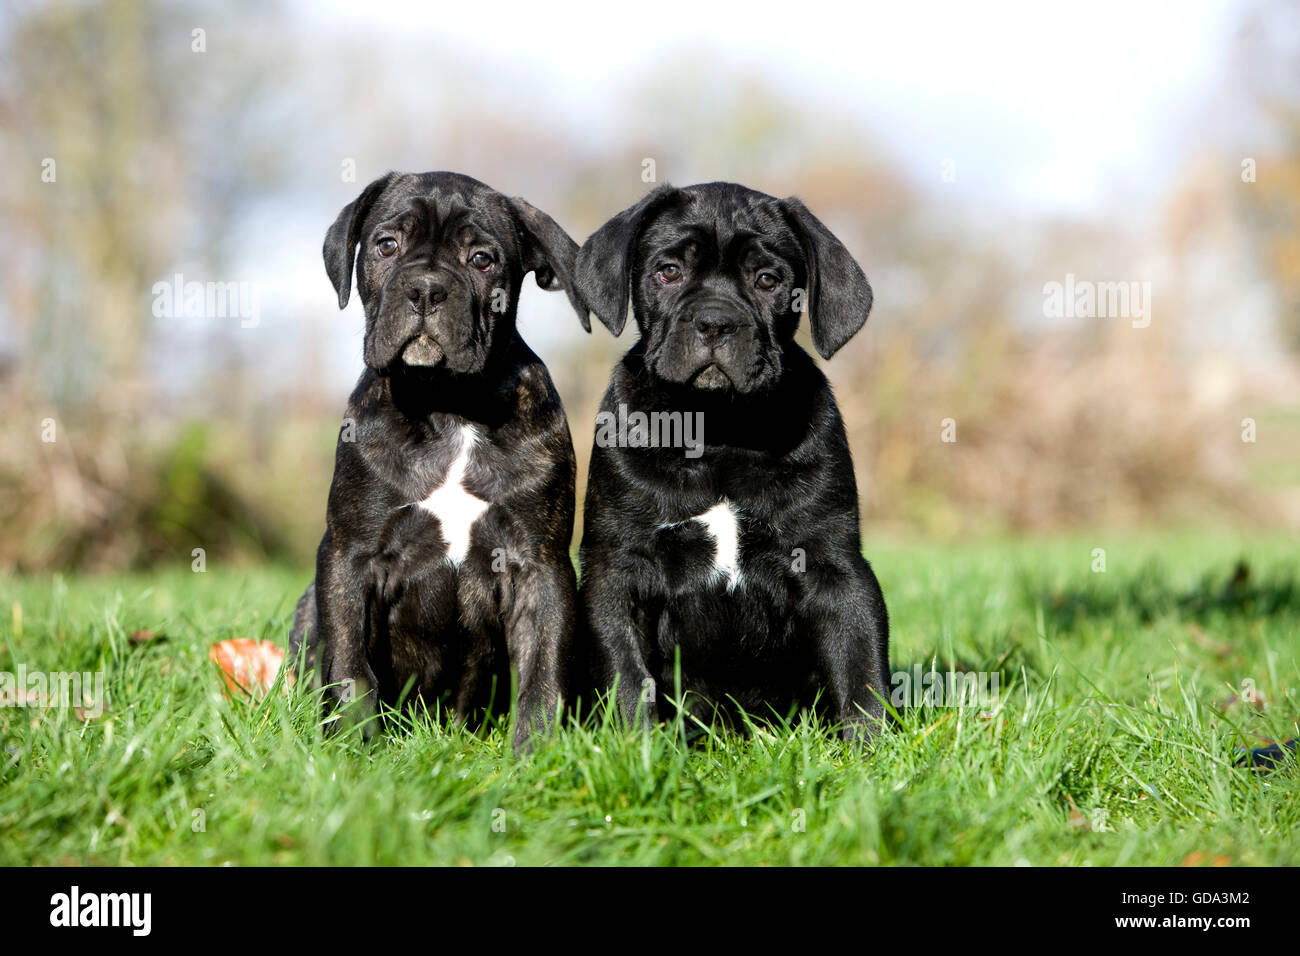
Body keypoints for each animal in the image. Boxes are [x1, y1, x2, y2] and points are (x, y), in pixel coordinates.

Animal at [292, 174, 587, 754]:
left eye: (482, 259)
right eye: (387, 245)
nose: (427, 289)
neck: (446, 404)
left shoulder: (540, 566)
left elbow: (544, 670)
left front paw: (536, 752)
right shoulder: (349, 557)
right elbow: (349, 663)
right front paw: (352, 748)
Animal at [574, 183, 889, 743]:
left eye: (768, 280)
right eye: (668, 271)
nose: (716, 322)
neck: (718, 429)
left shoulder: (834, 567)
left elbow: (861, 668)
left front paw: (873, 751)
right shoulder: (618, 568)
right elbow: (627, 674)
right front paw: (637, 748)